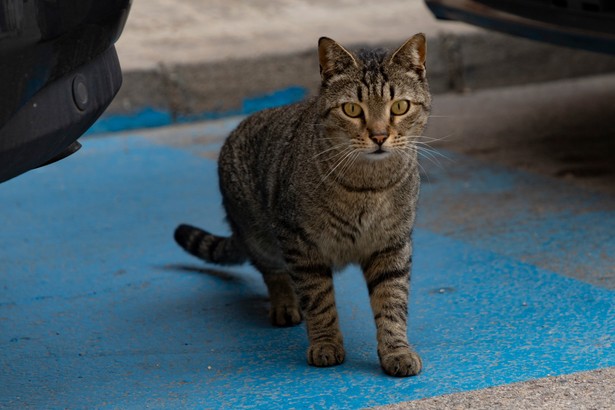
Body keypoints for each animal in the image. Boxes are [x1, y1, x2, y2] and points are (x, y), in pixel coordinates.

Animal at [174, 35, 434, 378]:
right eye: (352, 109)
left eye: (400, 107)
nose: (379, 136)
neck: (368, 185)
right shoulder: (299, 242)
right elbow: (319, 300)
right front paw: (326, 344)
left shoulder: (392, 245)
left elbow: (392, 301)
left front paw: (396, 349)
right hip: (261, 237)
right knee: (273, 272)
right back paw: (285, 304)